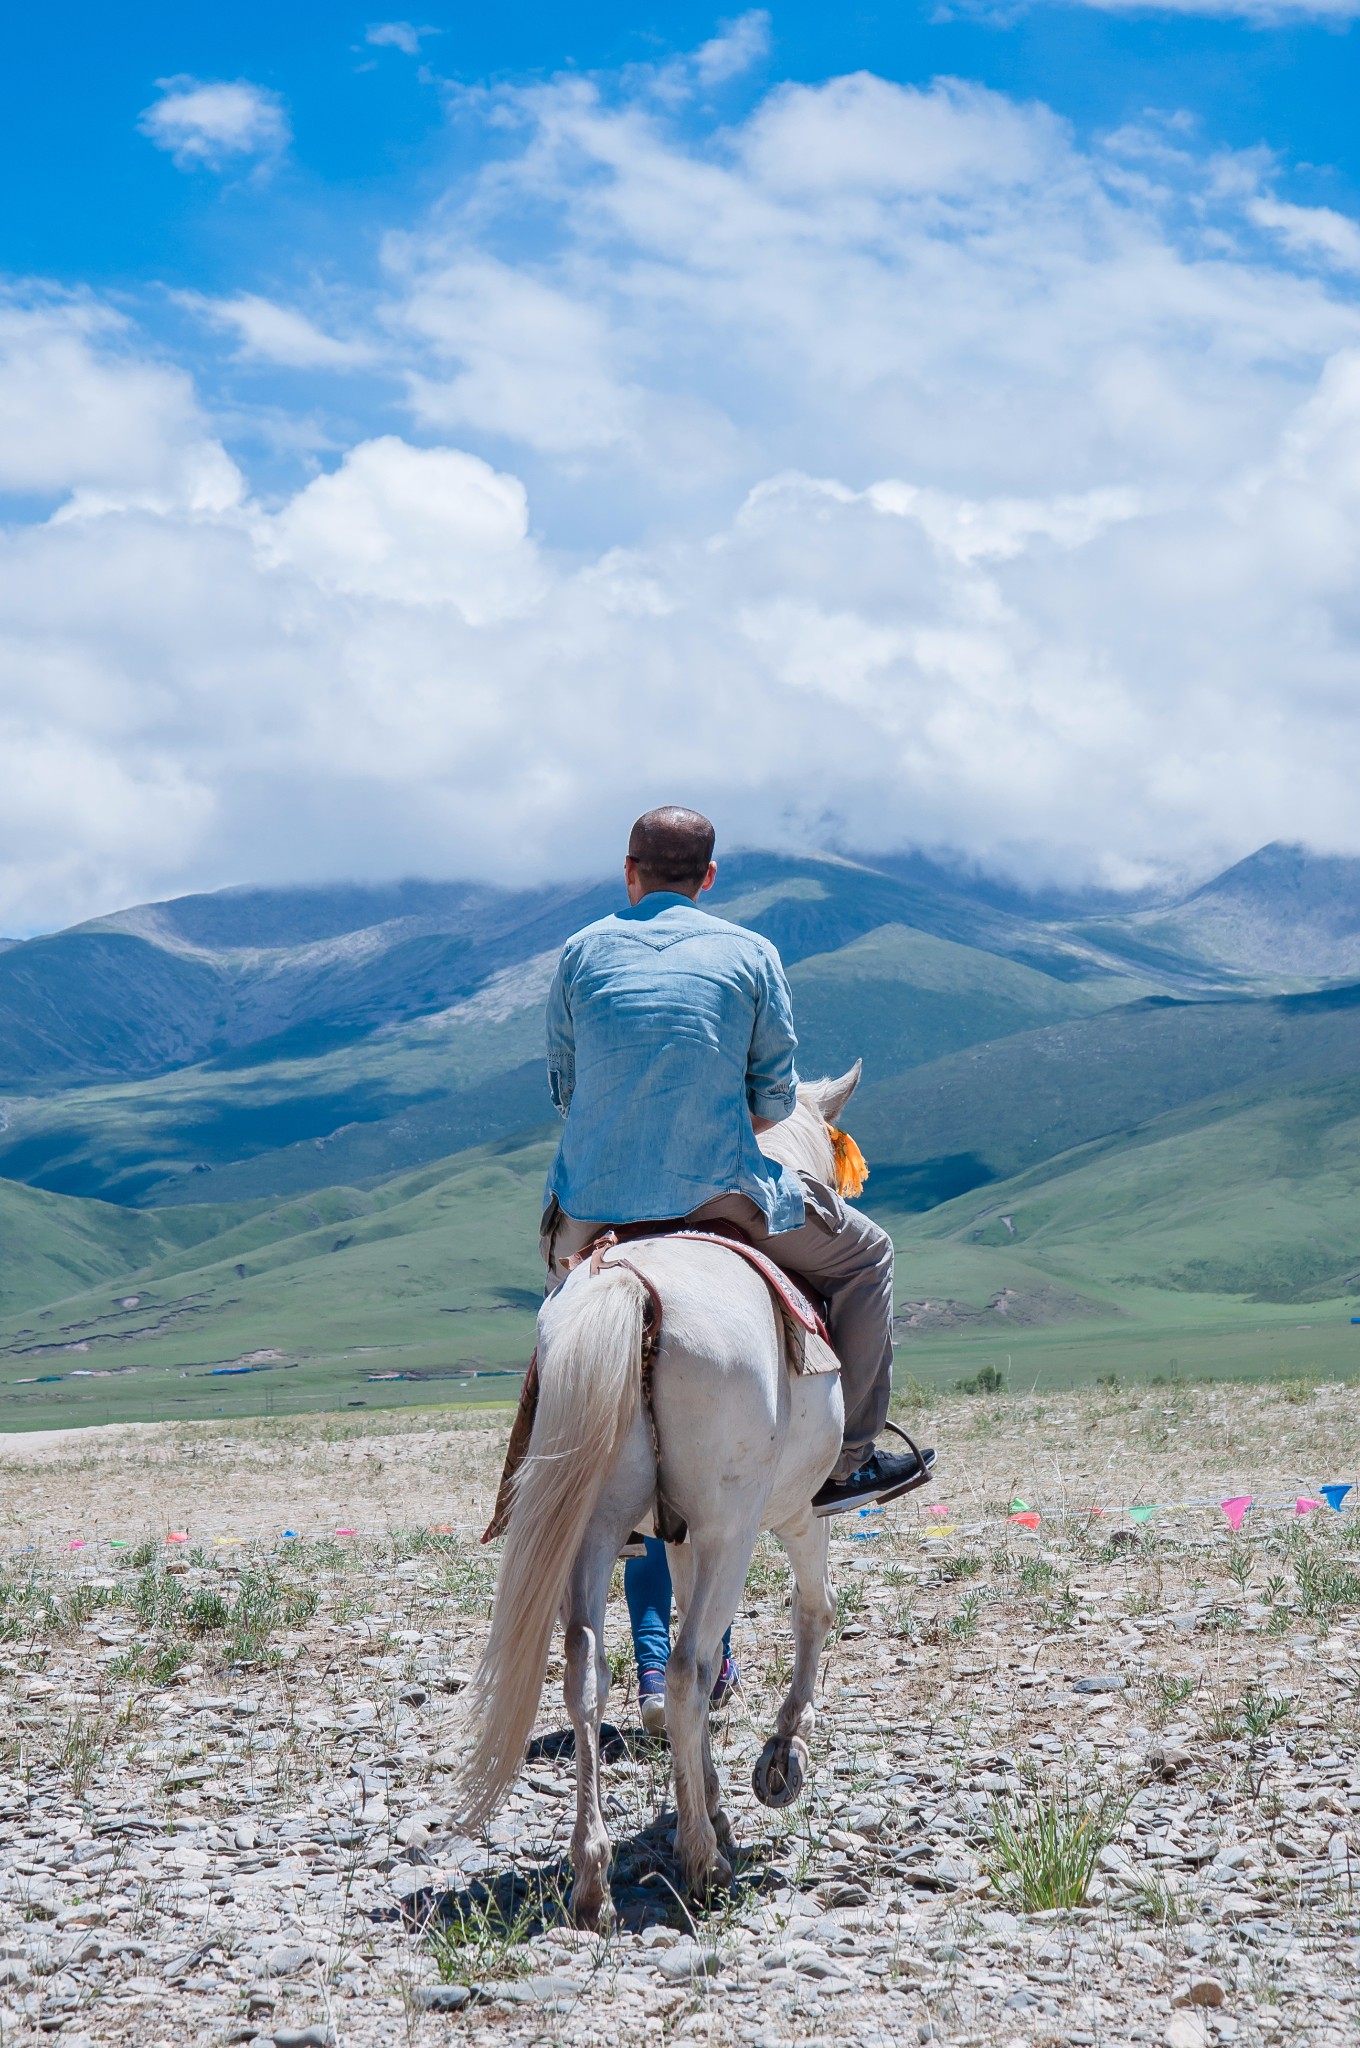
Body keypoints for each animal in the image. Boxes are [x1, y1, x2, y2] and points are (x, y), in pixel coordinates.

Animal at [450, 1064, 864, 1925]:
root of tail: (626, 1287)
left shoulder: (674, 1537)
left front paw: (712, 1796)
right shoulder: (792, 1515)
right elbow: (813, 1612)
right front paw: (780, 1762)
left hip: (596, 1527)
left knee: (586, 1672)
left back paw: (592, 1877)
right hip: (730, 1530)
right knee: (684, 1669)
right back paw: (703, 1864)